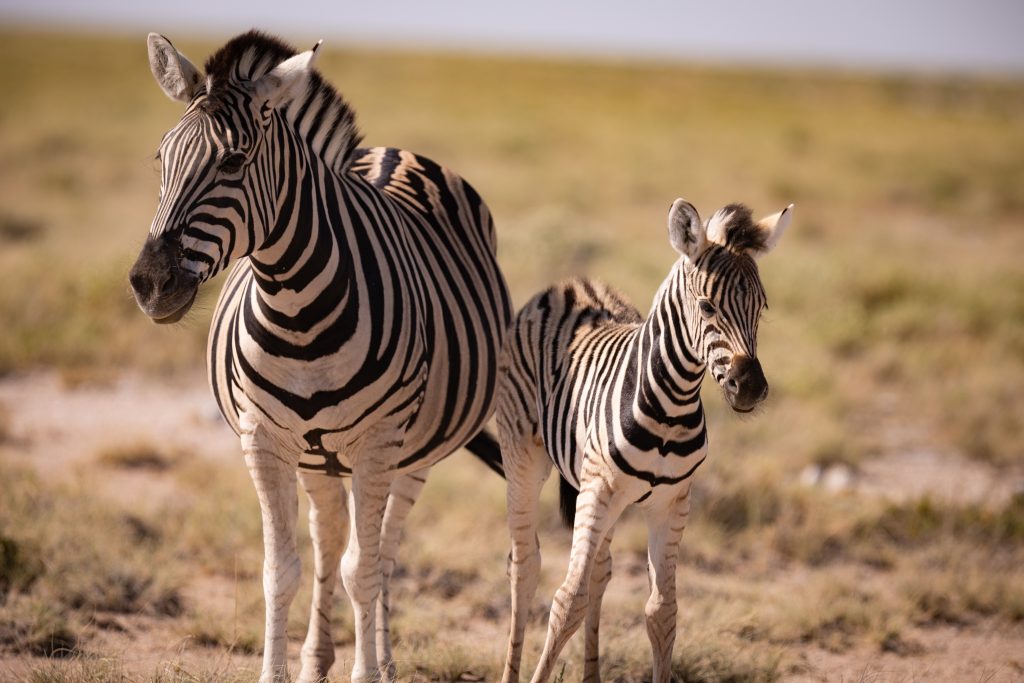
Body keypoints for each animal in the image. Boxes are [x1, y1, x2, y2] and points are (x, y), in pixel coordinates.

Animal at [128, 31, 511, 683]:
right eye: (160, 160)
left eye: (234, 162)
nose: (150, 284)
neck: (297, 309)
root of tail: (389, 152)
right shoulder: (264, 440)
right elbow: (280, 571)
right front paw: (280, 671)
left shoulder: (380, 443)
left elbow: (365, 568)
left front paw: (367, 672)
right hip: (319, 458)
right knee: (332, 536)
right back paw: (317, 657)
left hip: (414, 453)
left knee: (384, 551)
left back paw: (383, 660)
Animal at [495, 198, 791, 682]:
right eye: (707, 307)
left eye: (762, 307)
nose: (750, 388)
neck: (671, 408)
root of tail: (572, 284)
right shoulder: (598, 489)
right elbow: (567, 601)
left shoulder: (671, 502)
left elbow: (661, 610)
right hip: (525, 456)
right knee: (525, 566)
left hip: (606, 497)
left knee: (600, 572)